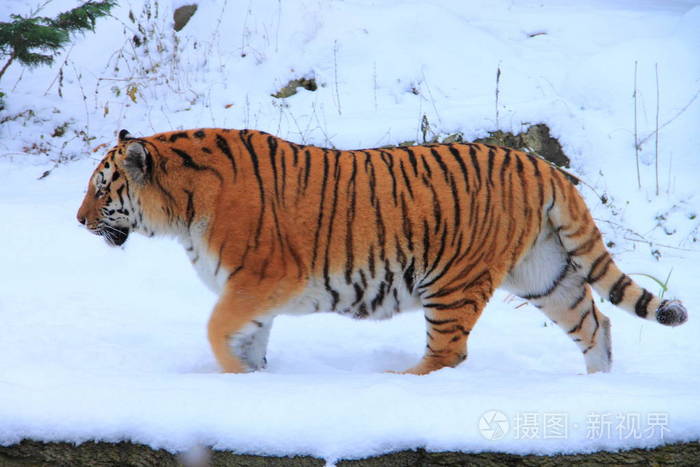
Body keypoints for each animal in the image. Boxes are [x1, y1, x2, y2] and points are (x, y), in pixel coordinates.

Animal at [78, 128, 688, 376]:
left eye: (102, 189)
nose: (79, 220)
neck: (182, 208)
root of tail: (539, 164)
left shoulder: (262, 278)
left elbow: (216, 327)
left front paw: (230, 376)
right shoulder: (254, 292)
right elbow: (249, 337)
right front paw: (250, 377)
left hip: (452, 282)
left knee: (448, 353)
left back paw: (398, 380)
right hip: (544, 273)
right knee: (595, 323)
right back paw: (596, 389)